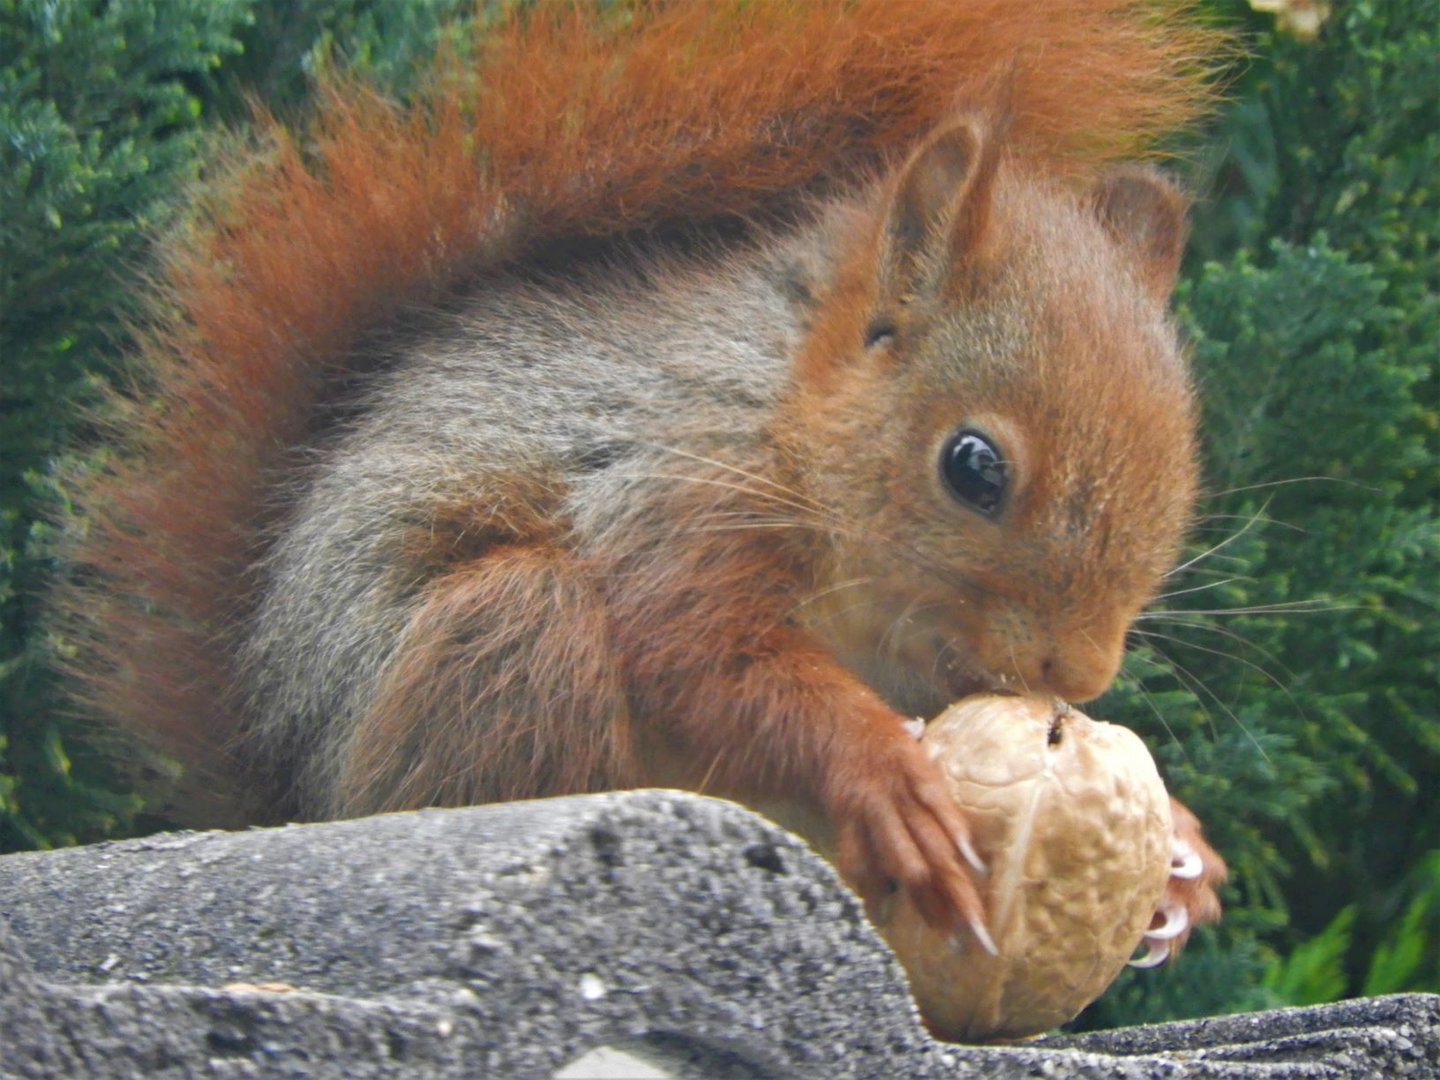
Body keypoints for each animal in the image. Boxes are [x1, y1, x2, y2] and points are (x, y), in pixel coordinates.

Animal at [56, 0, 1226, 961]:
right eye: (972, 467)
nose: (1078, 672)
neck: (787, 411)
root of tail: (298, 794)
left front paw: (1180, 852)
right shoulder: (674, 490)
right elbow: (702, 654)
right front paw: (885, 775)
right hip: (504, 643)